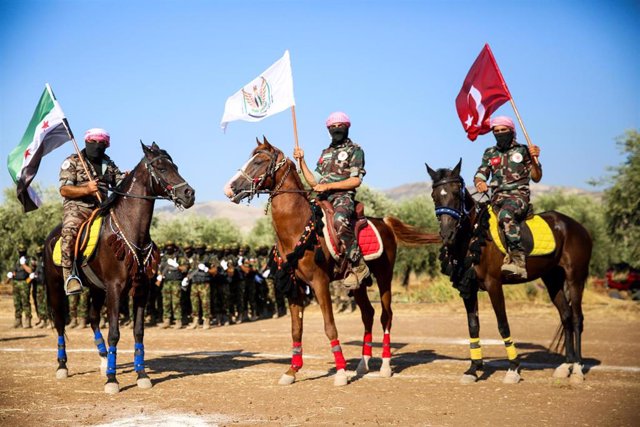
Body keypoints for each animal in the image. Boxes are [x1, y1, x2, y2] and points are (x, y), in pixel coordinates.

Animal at [44, 143, 194, 394]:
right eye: (161, 168)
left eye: (176, 166)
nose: (189, 194)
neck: (130, 229)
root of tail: (49, 237)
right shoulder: (115, 288)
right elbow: (114, 332)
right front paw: (112, 380)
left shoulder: (141, 289)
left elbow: (138, 331)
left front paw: (141, 374)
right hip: (56, 286)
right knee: (60, 323)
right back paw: (63, 365)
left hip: (96, 289)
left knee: (93, 319)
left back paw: (104, 360)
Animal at [225, 139, 440, 386]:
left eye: (259, 161)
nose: (230, 188)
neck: (298, 227)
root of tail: (384, 222)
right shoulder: (295, 287)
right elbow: (296, 329)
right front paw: (292, 370)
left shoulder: (319, 283)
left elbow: (330, 327)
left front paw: (340, 372)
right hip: (358, 284)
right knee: (368, 314)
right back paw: (363, 363)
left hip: (385, 276)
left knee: (386, 316)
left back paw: (385, 366)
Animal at [428, 160, 592, 384]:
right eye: (434, 196)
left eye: (456, 193)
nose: (447, 234)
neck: (474, 236)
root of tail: (579, 228)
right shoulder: (467, 287)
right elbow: (473, 325)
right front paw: (473, 369)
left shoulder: (494, 285)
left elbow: (502, 324)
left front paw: (513, 368)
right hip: (553, 279)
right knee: (566, 316)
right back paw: (565, 367)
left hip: (575, 279)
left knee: (577, 319)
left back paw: (577, 369)